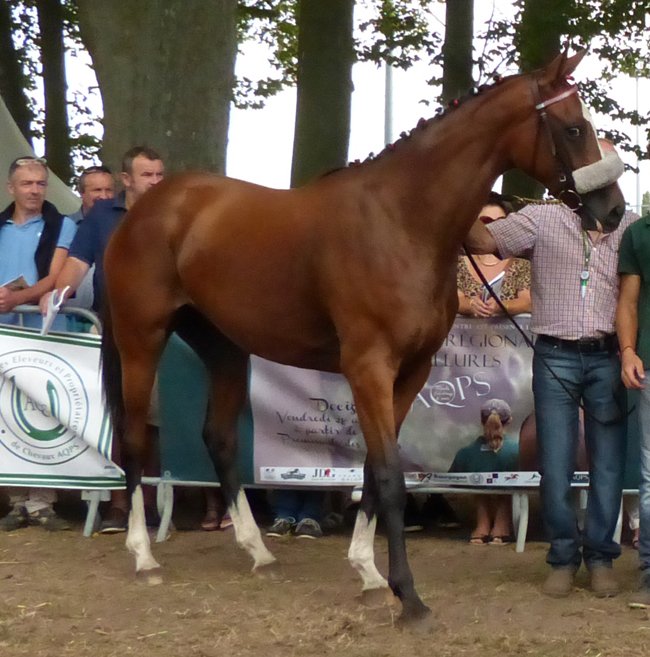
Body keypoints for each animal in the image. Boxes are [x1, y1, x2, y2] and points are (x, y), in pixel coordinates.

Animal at [100, 49, 625, 630]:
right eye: (574, 128)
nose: (613, 210)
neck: (401, 220)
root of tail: (148, 206)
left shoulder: (412, 370)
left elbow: (374, 470)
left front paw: (370, 574)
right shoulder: (369, 366)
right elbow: (391, 474)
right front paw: (408, 595)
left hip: (225, 347)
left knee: (219, 438)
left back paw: (258, 552)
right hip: (141, 338)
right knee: (134, 439)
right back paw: (144, 556)